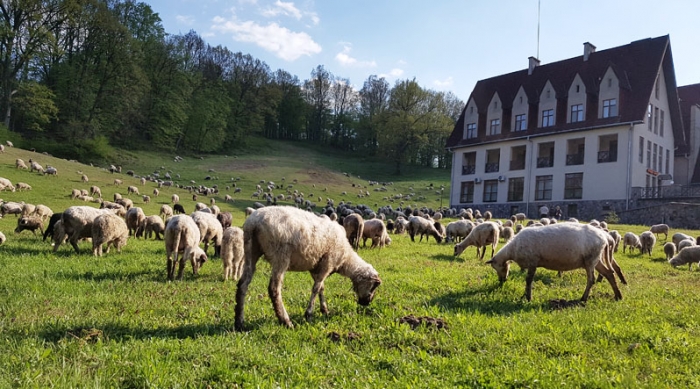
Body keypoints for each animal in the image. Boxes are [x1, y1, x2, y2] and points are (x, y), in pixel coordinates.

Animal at [232, 205, 380, 328]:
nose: (366, 303)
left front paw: (324, 309)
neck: (345, 259)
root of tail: (254, 222)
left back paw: (239, 322)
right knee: (274, 288)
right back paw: (285, 321)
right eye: (374, 286)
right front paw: (309, 314)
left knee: (243, 284)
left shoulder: (316, 268)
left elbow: (321, 288)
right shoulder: (327, 263)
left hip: (251, 250)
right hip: (281, 256)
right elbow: (316, 288)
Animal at [486, 221, 624, 300]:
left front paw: (528, 297)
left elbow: (528, 280)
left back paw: (583, 298)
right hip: (596, 259)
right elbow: (528, 280)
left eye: (497, 267)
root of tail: (605, 237)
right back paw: (618, 296)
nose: (502, 281)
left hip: (591, 260)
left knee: (591, 280)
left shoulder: (532, 262)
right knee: (609, 274)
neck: (513, 249)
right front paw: (525, 296)